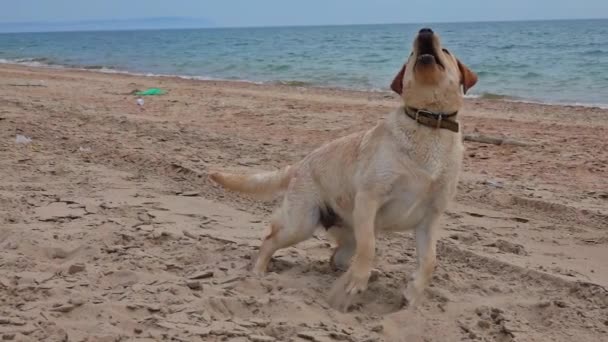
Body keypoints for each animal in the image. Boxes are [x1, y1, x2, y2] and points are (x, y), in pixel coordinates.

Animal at [211, 28, 478, 312]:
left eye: (446, 51)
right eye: (411, 52)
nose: (425, 32)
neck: (430, 124)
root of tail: (300, 164)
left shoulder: (430, 217)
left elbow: (430, 261)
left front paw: (413, 294)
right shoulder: (369, 199)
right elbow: (369, 248)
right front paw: (356, 284)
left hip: (344, 234)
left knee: (337, 256)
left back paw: (361, 275)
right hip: (301, 223)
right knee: (271, 239)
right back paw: (260, 271)